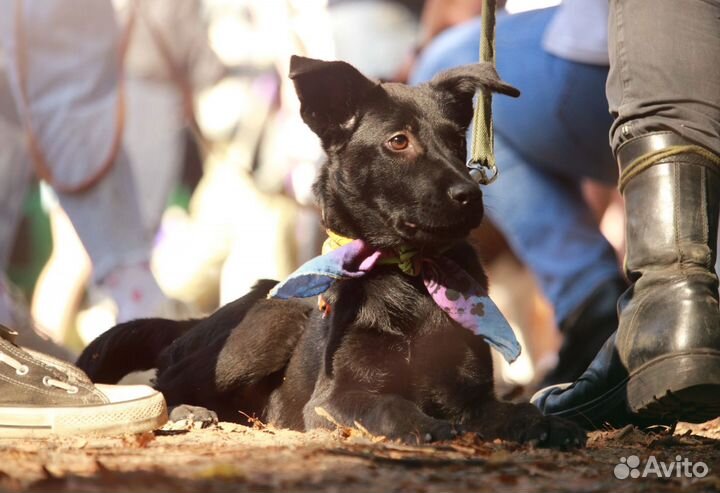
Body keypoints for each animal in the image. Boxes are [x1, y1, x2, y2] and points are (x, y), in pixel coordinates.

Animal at [77, 55, 584, 448]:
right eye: (398, 141)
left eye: (457, 140)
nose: (469, 195)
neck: (408, 274)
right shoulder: (332, 401)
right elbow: (391, 405)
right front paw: (428, 426)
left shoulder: (472, 397)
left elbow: (512, 411)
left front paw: (547, 423)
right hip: (272, 322)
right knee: (165, 381)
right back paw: (189, 412)